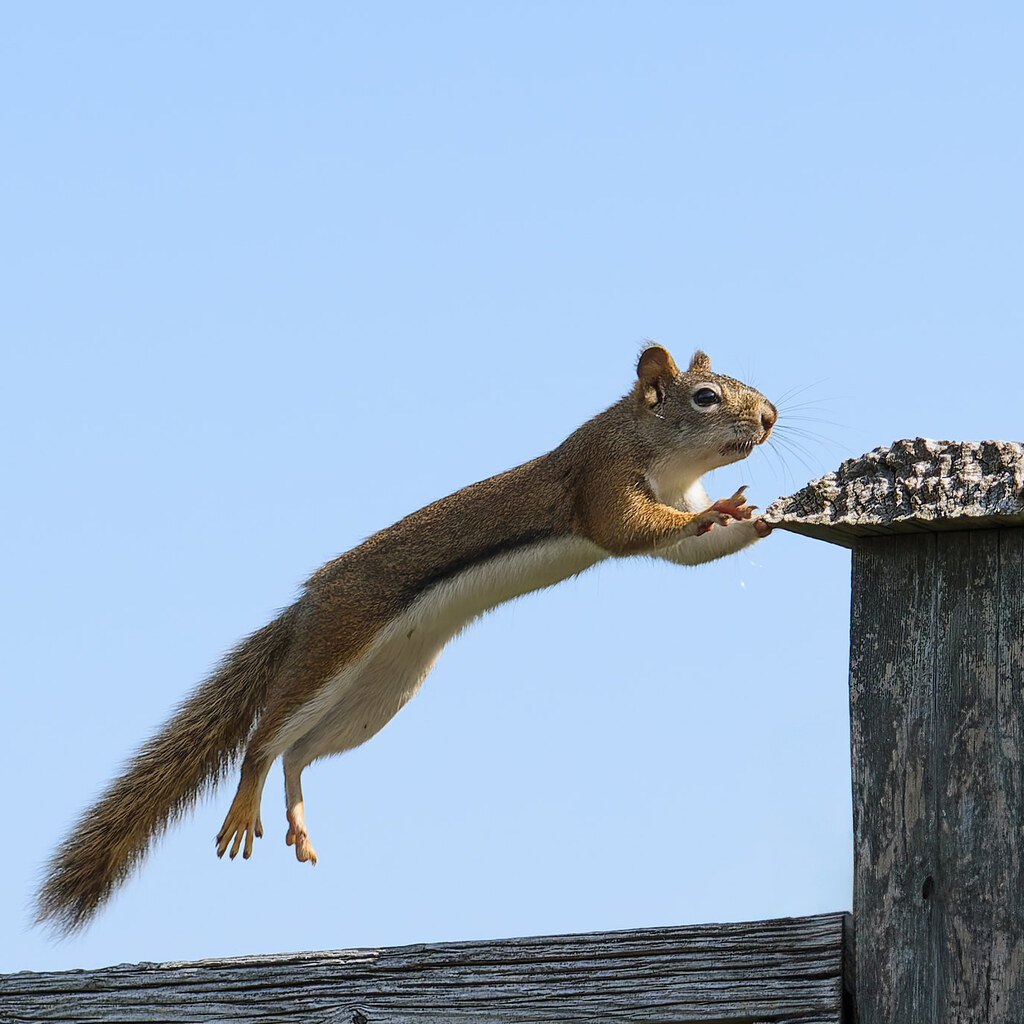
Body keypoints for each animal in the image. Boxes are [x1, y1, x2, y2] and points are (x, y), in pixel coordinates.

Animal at [35, 345, 777, 935]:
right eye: (705, 397)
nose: (770, 417)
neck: (656, 449)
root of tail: (305, 606)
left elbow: (694, 549)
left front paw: (759, 517)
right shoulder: (601, 480)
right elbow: (634, 531)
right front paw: (722, 510)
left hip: (382, 691)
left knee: (299, 753)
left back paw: (297, 815)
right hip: (336, 647)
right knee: (265, 738)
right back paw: (247, 801)